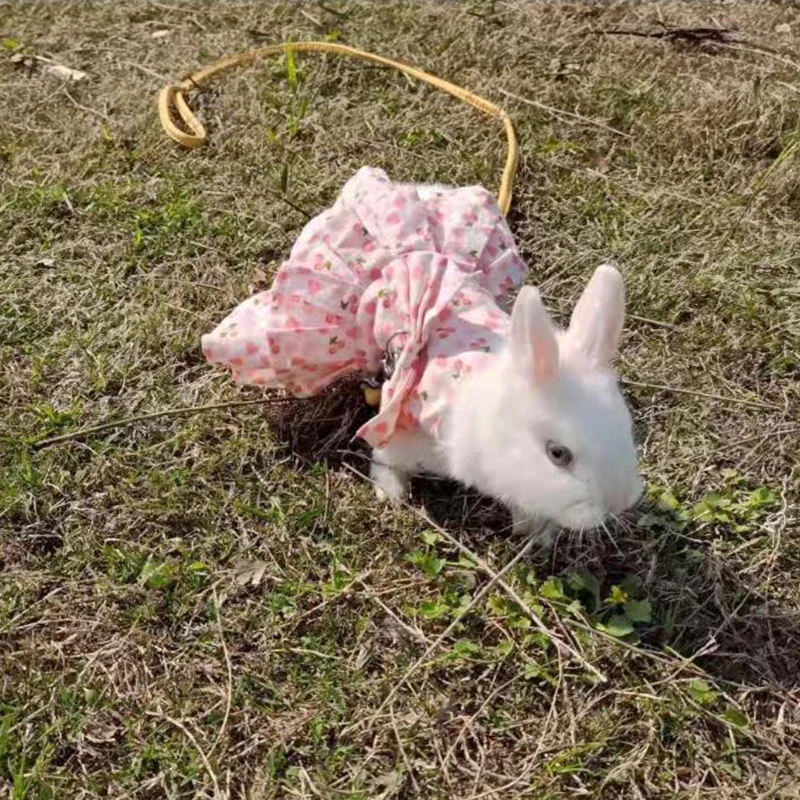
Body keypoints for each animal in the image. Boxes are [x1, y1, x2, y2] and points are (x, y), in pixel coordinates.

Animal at [370, 264, 644, 542]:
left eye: (627, 428)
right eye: (558, 454)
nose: (618, 503)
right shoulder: (402, 420)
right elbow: (385, 456)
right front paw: (390, 493)